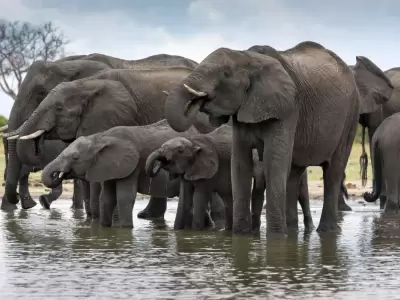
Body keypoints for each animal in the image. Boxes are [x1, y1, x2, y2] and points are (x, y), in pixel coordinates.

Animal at [41, 119, 225, 227]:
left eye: (75, 157)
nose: (58, 174)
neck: (100, 138)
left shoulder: (131, 167)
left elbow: (124, 197)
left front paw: (126, 229)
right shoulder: (109, 167)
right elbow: (106, 198)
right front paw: (104, 229)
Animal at [164, 41, 392, 234]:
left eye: (225, 73)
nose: (198, 99)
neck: (249, 57)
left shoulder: (288, 108)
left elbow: (273, 160)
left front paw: (274, 240)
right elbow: (240, 163)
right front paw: (242, 237)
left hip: (350, 116)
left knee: (333, 171)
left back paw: (326, 233)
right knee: (294, 173)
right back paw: (291, 232)